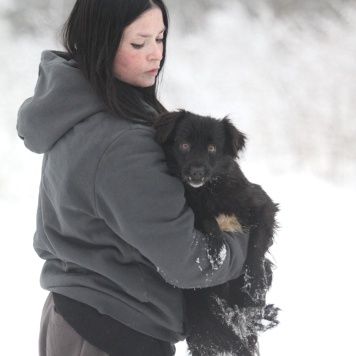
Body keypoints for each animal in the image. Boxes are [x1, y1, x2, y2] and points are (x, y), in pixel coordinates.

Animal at [154, 111, 280, 356]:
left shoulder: (263, 204)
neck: (209, 190)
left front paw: (255, 283)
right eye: (184, 145)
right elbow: (206, 219)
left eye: (212, 148)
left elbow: (257, 247)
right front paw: (217, 251)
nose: (196, 171)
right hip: (206, 319)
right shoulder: (191, 208)